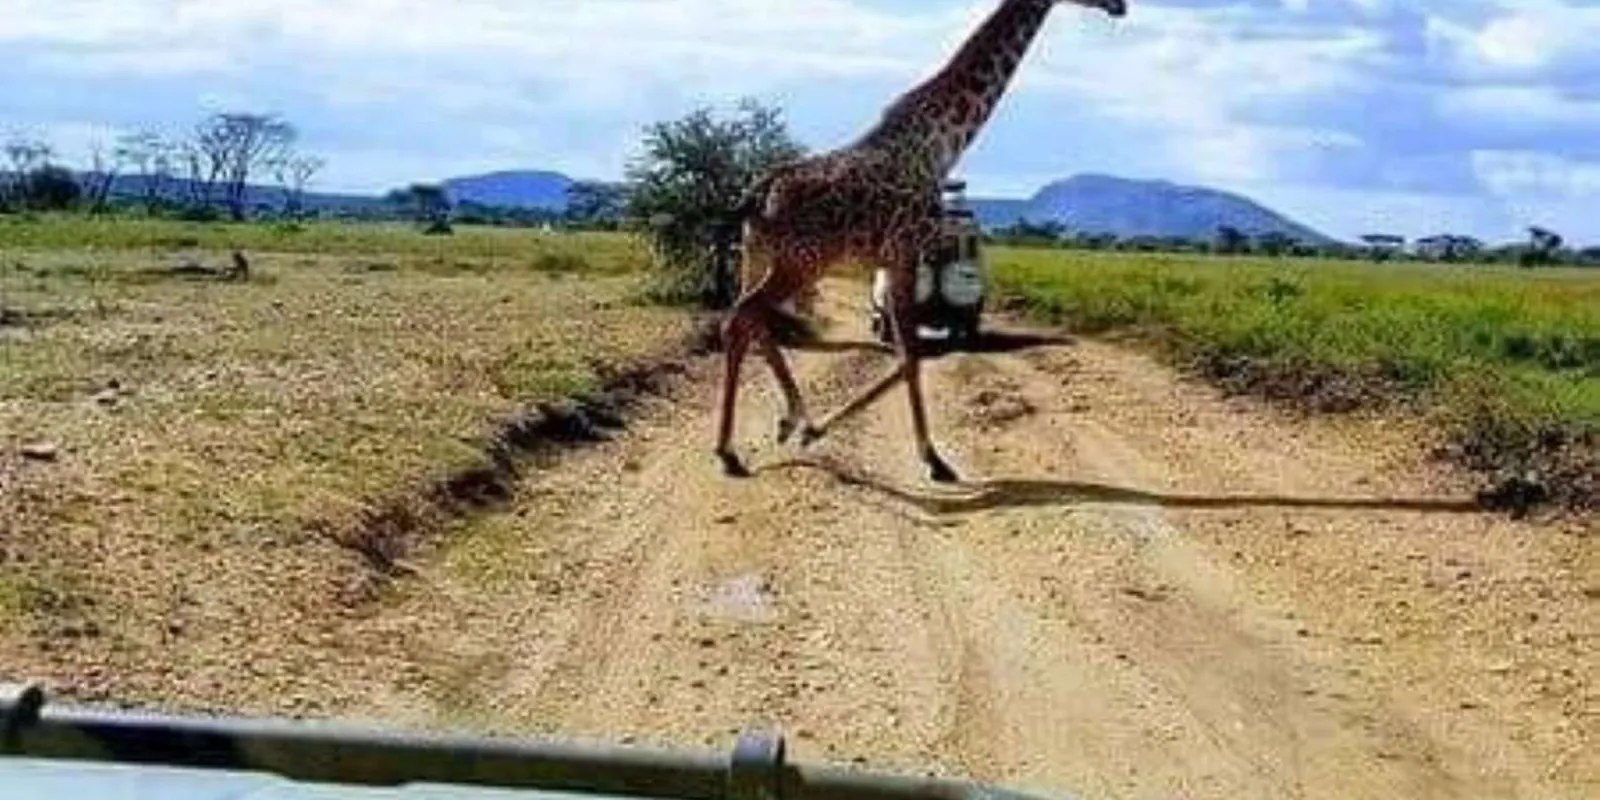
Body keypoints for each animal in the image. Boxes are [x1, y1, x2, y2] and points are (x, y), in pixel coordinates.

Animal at [715, 0, 1128, 482]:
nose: (1121, 6)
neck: (945, 139)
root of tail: (760, 192)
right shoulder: (907, 250)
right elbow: (910, 356)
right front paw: (934, 459)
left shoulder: (893, 259)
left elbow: (906, 355)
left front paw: (818, 429)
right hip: (801, 261)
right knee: (742, 318)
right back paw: (737, 446)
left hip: (758, 254)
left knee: (749, 322)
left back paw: (784, 423)